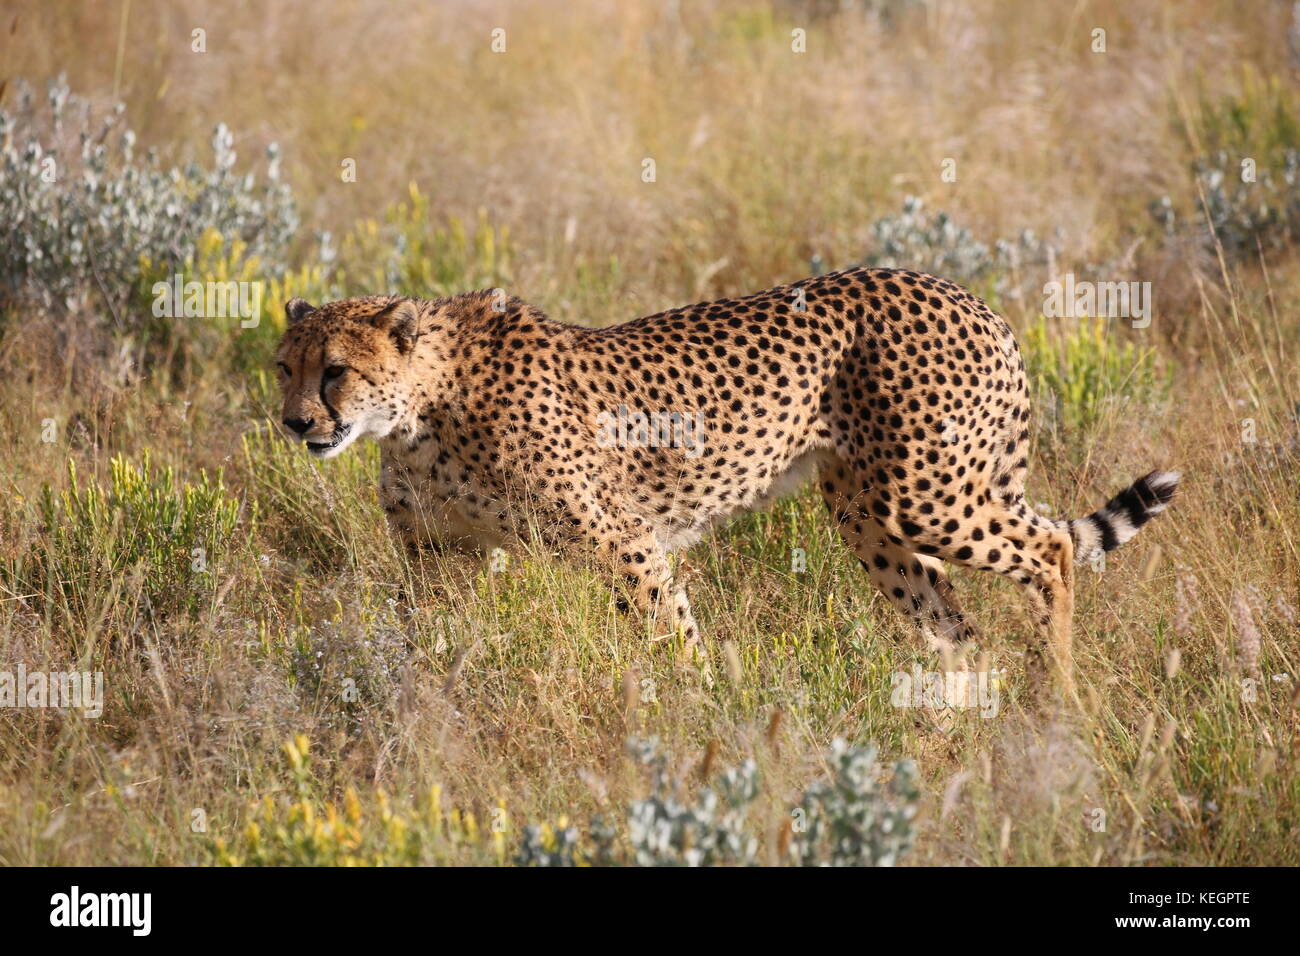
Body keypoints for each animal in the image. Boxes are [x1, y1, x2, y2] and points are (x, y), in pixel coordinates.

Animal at [271, 265, 1180, 691]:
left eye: (336, 372)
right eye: (284, 367)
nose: (295, 423)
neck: (419, 410)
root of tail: (962, 292)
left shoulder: (624, 540)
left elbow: (672, 636)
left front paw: (703, 717)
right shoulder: (440, 557)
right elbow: (432, 644)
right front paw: (435, 713)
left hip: (927, 495)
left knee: (1050, 551)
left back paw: (1058, 698)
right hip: (867, 513)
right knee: (952, 619)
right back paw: (958, 715)